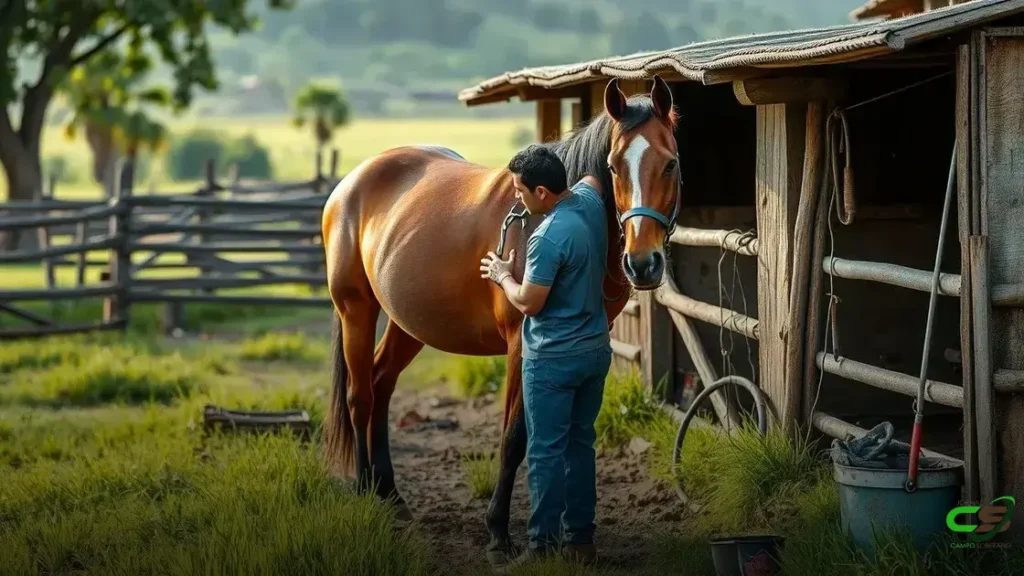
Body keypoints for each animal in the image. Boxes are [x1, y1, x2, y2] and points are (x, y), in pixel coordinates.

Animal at [320, 75, 682, 563]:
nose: (643, 264)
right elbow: (516, 436)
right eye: (613, 167)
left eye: (670, 165)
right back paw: (365, 493)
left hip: (407, 322)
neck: (548, 215)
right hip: (356, 309)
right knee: (360, 396)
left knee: (380, 385)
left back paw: (391, 496)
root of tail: (350, 184)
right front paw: (498, 533)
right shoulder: (520, 347)